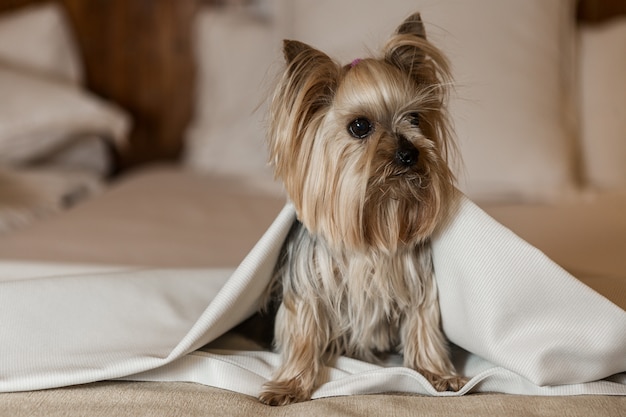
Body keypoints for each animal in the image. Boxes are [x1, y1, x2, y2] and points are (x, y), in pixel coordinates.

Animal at [258, 12, 464, 404]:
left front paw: (437, 374)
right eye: (359, 126)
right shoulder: (308, 286)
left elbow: (423, 324)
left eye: (415, 118)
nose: (409, 153)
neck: (376, 220)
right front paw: (290, 384)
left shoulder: (418, 282)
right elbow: (304, 331)